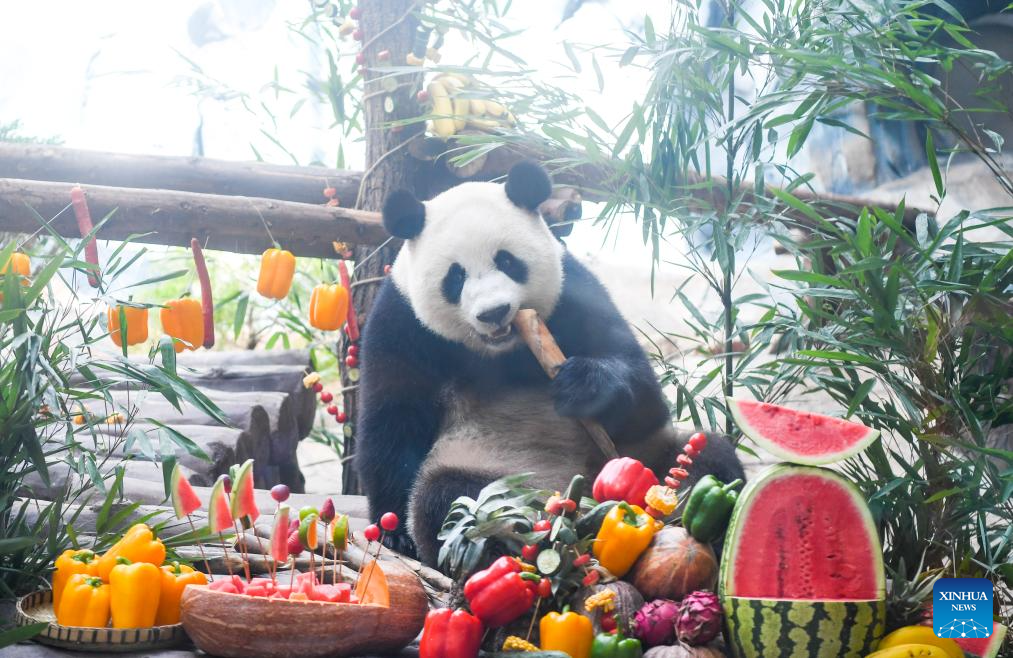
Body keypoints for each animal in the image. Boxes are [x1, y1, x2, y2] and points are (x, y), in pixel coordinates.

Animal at [356, 160, 745, 562]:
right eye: (456, 275)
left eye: (507, 261)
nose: (494, 312)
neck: (501, 351)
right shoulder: (402, 324)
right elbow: (393, 419)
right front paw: (395, 534)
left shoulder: (573, 291)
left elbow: (644, 398)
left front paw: (584, 385)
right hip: (493, 466)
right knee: (450, 497)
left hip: (647, 458)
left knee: (707, 463)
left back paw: (704, 533)